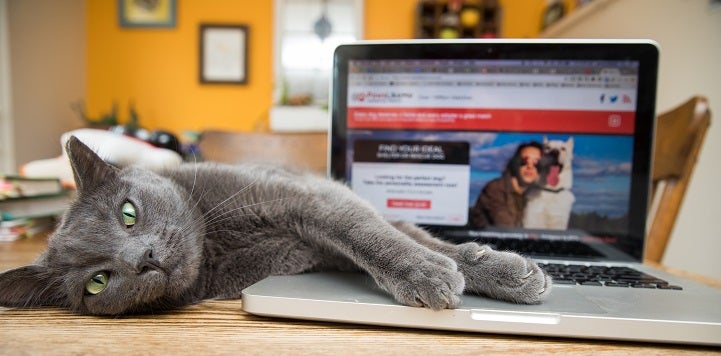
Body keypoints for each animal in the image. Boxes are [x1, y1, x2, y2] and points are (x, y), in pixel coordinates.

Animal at [0, 136, 548, 314]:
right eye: (97, 282)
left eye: (127, 212)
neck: (215, 241)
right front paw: (437, 273)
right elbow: (380, 239)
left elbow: (373, 235)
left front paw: (494, 272)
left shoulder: (308, 197)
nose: (144, 259)